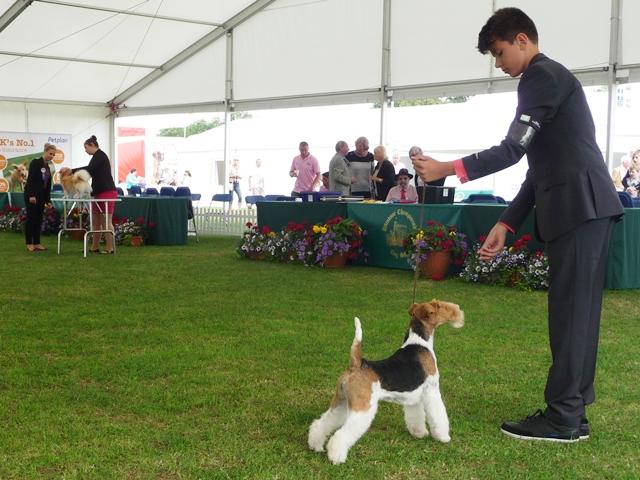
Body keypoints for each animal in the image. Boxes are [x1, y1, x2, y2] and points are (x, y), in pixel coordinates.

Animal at [306, 300, 462, 464]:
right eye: (439, 306)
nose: (457, 310)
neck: (419, 342)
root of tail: (356, 363)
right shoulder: (432, 391)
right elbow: (438, 416)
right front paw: (443, 437)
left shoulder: (414, 397)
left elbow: (416, 416)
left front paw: (419, 433)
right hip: (363, 407)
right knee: (341, 435)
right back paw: (337, 457)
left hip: (341, 402)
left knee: (322, 423)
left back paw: (315, 445)